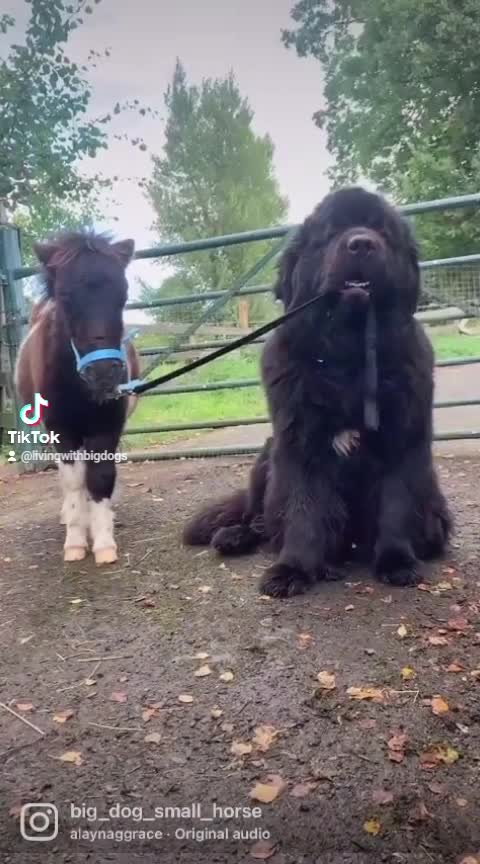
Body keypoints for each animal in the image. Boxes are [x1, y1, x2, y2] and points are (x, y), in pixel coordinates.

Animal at [15, 232, 140, 565]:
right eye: (64, 296)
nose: (104, 372)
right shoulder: (62, 430)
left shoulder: (106, 427)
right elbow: (73, 482)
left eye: (123, 294)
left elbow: (100, 477)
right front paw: (75, 542)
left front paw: (104, 542)